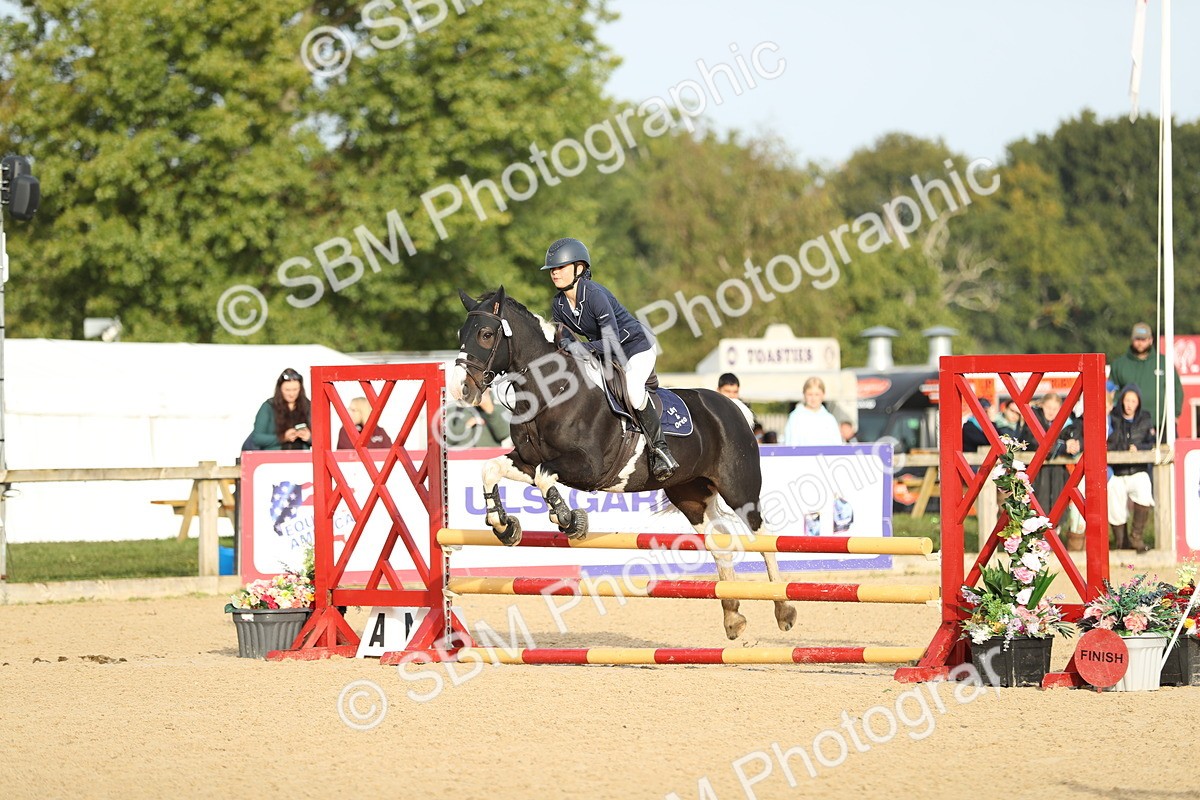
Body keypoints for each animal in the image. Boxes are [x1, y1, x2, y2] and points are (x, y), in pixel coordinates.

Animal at [450, 286, 796, 640]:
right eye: (461, 335)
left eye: (486, 334)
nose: (463, 390)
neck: (550, 391)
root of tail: (733, 406)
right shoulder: (527, 461)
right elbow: (491, 469)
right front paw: (503, 524)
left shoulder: (587, 466)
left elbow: (546, 478)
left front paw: (570, 521)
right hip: (690, 495)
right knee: (719, 542)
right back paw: (732, 617)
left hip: (739, 488)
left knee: (763, 535)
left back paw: (784, 610)